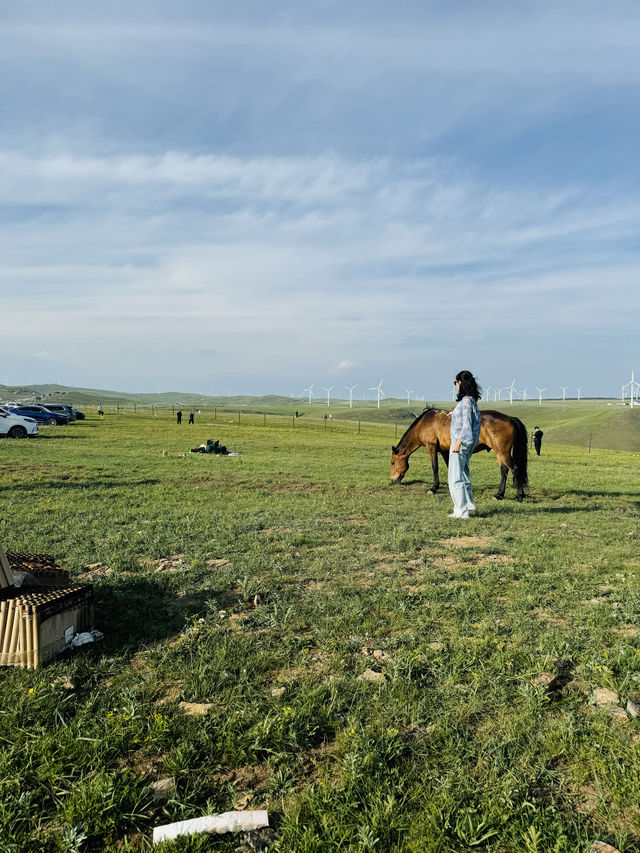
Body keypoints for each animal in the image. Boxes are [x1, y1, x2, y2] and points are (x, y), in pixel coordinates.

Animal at [390, 406, 528, 500]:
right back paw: (499, 494)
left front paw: (433, 488)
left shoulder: (431, 447)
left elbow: (435, 467)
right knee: (504, 471)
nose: (392, 481)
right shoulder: (445, 451)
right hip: (500, 454)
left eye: (392, 463)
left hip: (502, 453)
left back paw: (519, 496)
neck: (425, 423)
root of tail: (510, 418)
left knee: (515, 469)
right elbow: (449, 467)